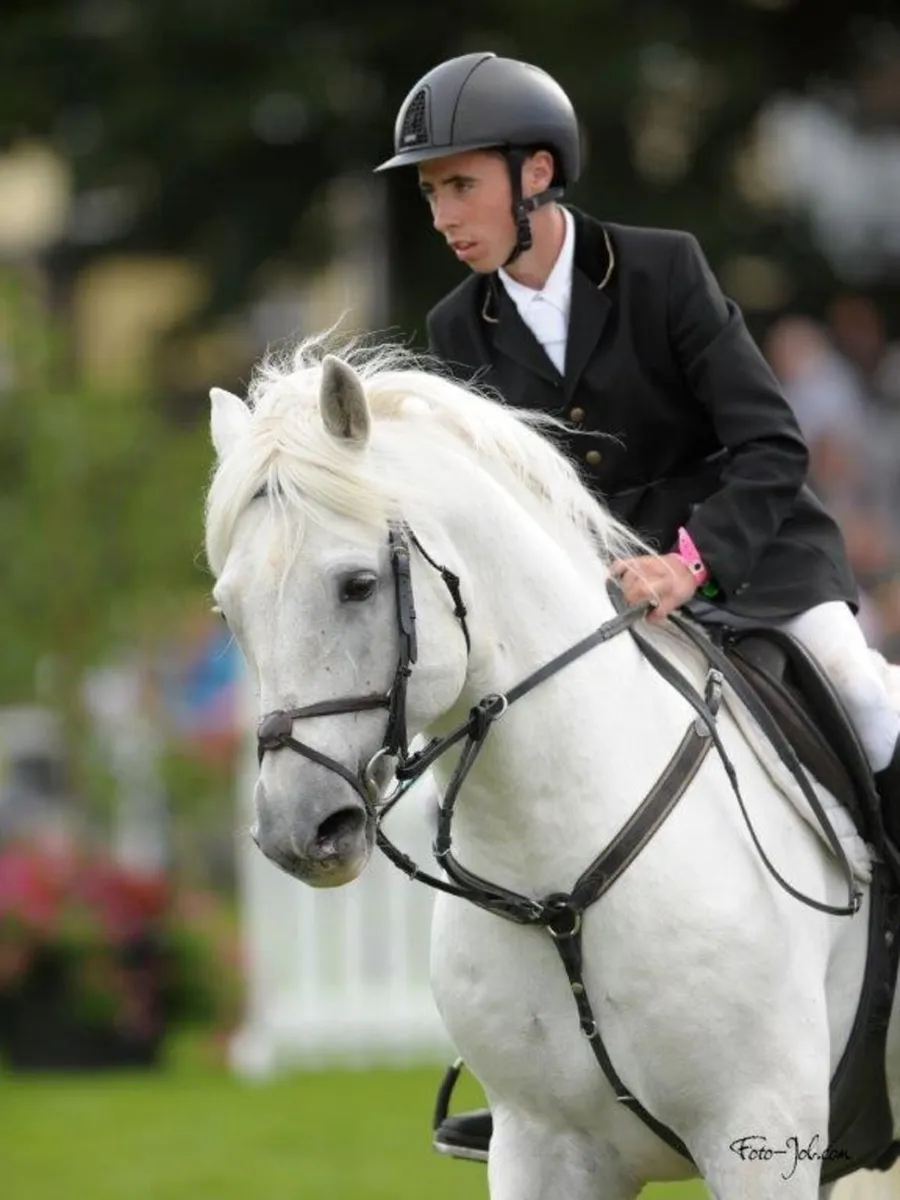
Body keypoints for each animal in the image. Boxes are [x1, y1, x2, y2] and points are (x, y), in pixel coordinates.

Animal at [204, 338, 900, 1200]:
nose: (298, 833)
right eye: (227, 609)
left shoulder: (760, 1136)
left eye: (357, 585)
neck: (555, 883)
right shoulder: (542, 1149)